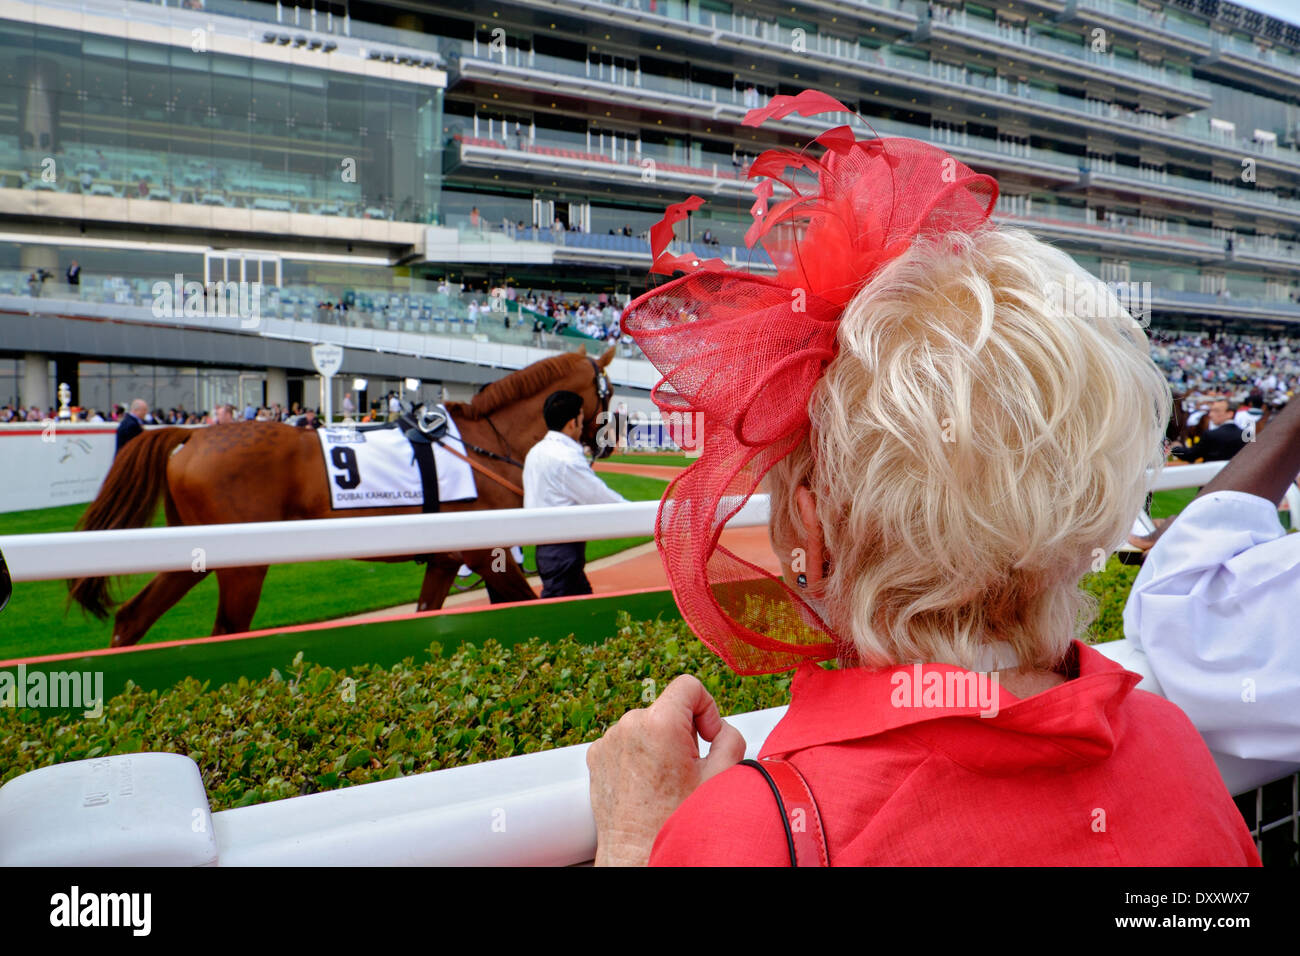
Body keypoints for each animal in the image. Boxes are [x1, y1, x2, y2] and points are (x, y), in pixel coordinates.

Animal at [68, 348, 616, 647]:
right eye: (608, 394)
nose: (605, 443)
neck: (487, 440)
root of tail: (191, 437)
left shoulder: (446, 560)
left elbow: (428, 611)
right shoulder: (490, 554)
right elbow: (526, 602)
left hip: (193, 553)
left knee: (132, 617)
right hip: (243, 568)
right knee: (223, 631)